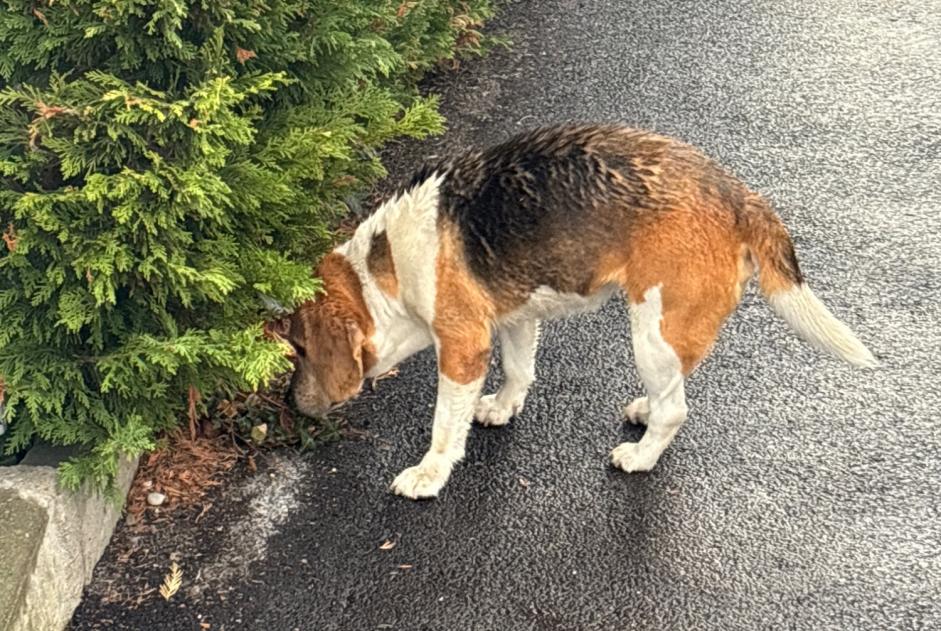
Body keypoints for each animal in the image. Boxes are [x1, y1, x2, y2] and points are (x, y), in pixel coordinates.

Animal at [264, 122, 872, 498]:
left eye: (299, 348)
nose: (292, 404)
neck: (383, 268)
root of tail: (740, 196)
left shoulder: (462, 347)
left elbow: (443, 425)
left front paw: (429, 475)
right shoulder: (514, 316)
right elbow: (519, 370)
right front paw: (502, 406)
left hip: (651, 328)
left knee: (676, 410)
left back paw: (640, 456)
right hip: (669, 333)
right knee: (673, 389)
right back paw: (645, 409)